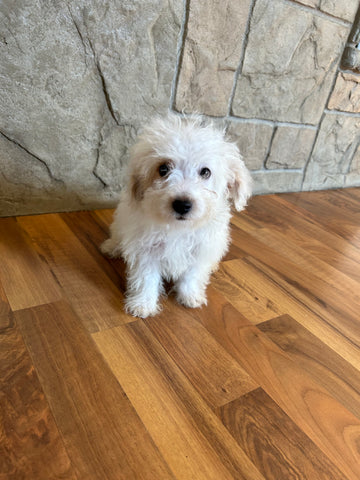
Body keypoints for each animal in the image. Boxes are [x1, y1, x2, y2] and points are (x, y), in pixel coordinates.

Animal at [101, 113, 252, 318]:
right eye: (163, 169)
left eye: (205, 172)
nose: (182, 204)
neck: (178, 228)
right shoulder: (146, 250)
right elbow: (146, 277)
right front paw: (143, 304)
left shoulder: (199, 249)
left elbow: (192, 275)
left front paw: (190, 296)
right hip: (121, 223)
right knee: (117, 235)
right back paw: (111, 247)